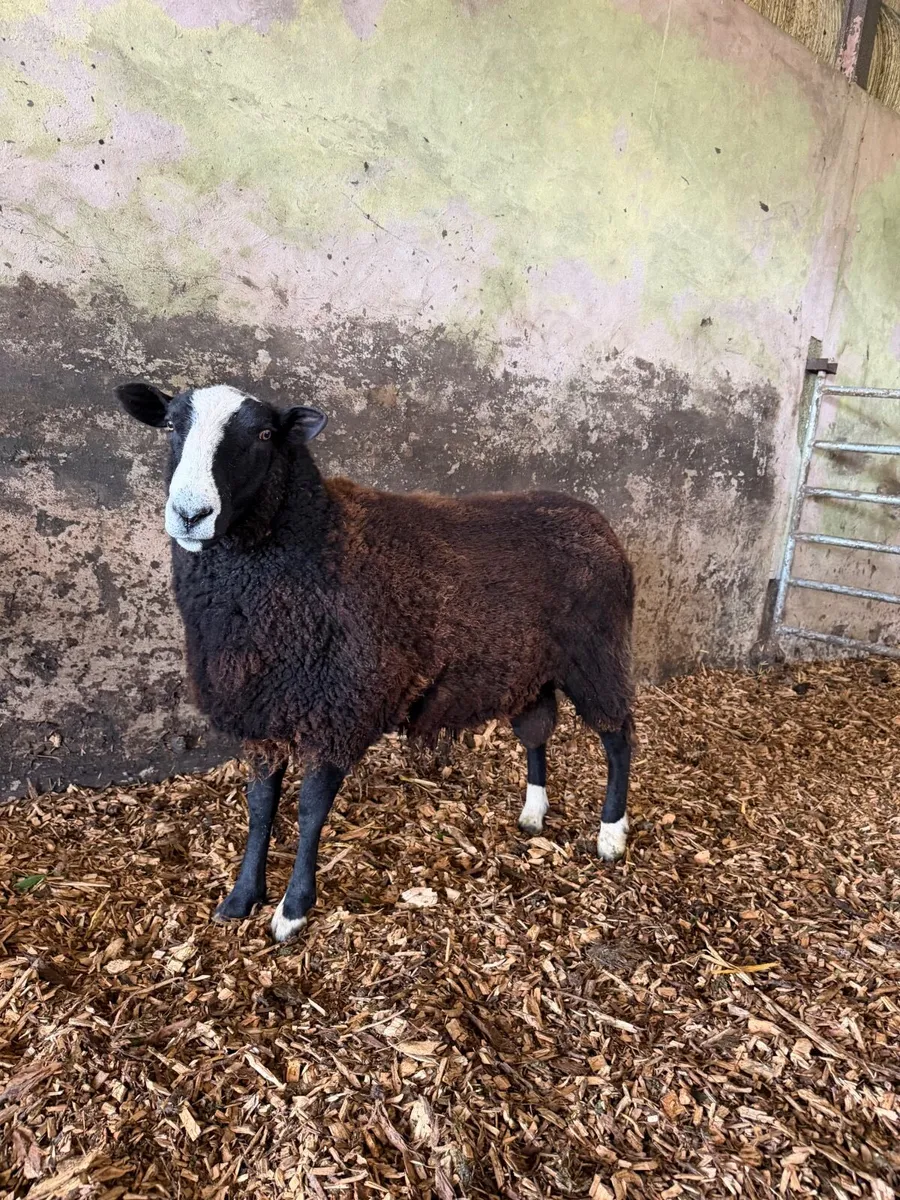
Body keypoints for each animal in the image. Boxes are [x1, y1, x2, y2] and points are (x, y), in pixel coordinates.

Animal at [117, 381, 635, 942]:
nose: (190, 514)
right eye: (171, 424)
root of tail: (595, 518)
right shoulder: (264, 713)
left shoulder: (340, 708)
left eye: (263, 434)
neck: (318, 544)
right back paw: (533, 814)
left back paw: (611, 835)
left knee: (618, 736)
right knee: (538, 731)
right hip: (527, 670)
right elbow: (259, 806)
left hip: (597, 654)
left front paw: (293, 910)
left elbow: (309, 811)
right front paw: (241, 898)